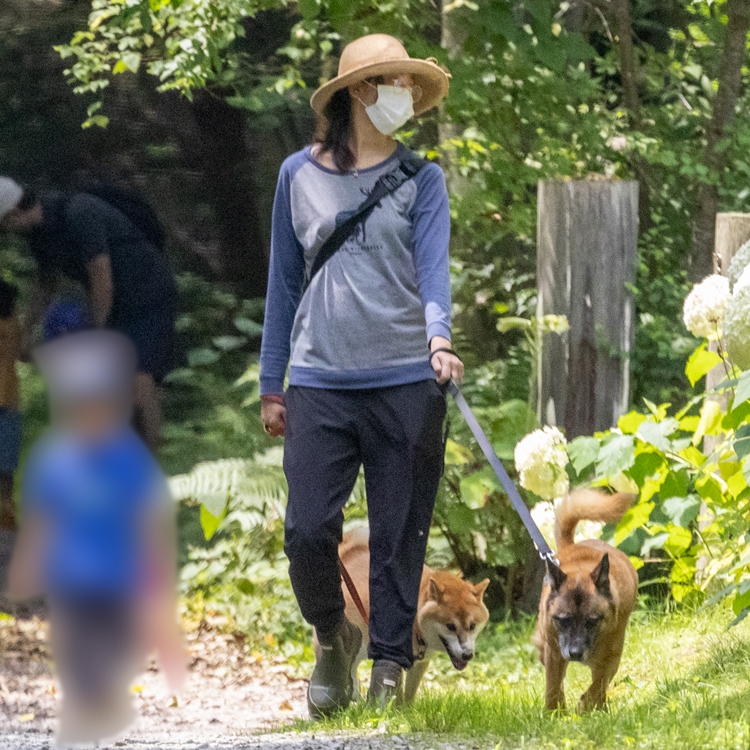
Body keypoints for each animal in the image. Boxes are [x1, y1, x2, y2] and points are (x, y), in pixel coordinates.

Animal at [340, 528, 494, 704]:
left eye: (472, 626)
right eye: (450, 626)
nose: (467, 655)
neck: (415, 626)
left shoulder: (420, 662)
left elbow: (409, 693)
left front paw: (407, 708)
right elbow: (397, 691)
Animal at [536, 490, 640, 712]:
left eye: (592, 621)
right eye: (563, 620)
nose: (575, 653)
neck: (579, 571)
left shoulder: (611, 657)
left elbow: (598, 684)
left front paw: (585, 706)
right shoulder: (555, 653)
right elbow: (552, 686)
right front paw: (554, 713)